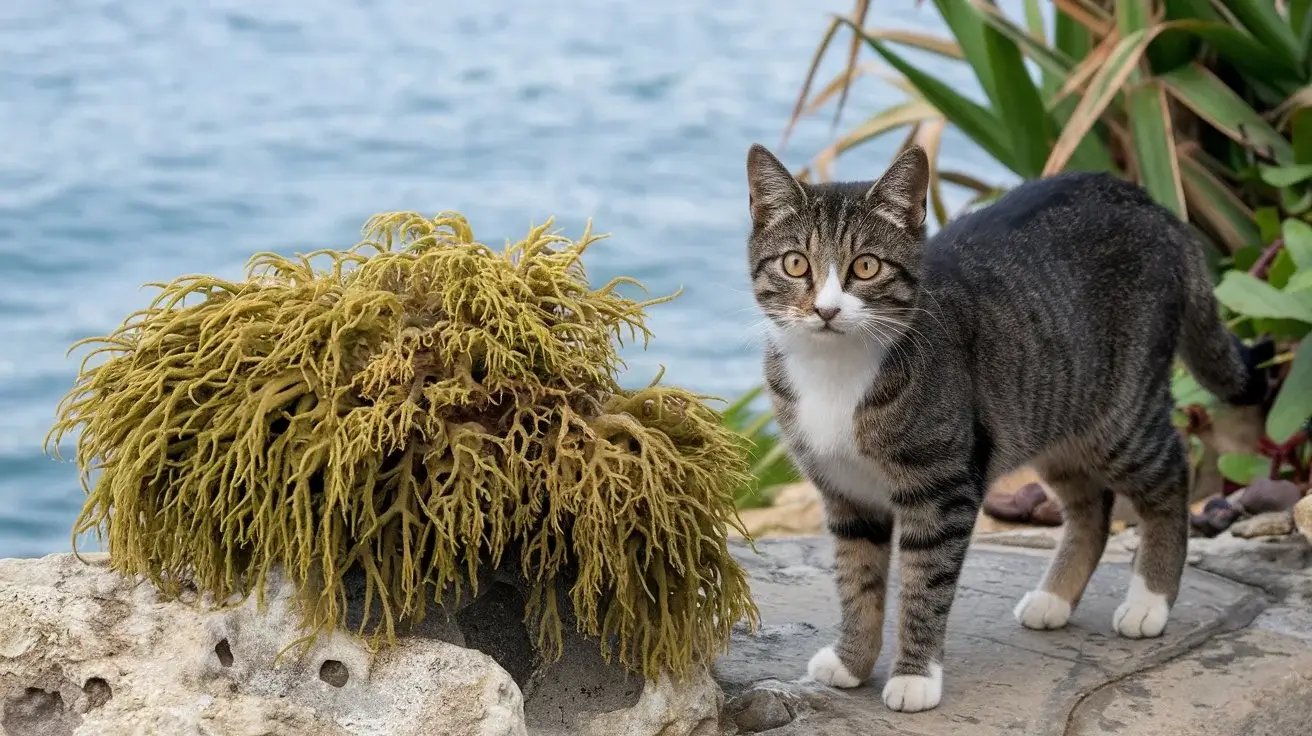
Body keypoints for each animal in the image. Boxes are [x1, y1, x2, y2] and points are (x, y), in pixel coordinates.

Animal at [750, 142, 1270, 713]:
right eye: (796, 263)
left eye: (865, 266)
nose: (825, 309)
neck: (835, 371)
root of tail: (1156, 207)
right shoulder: (846, 496)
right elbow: (856, 583)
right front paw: (852, 662)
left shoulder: (943, 490)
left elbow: (923, 588)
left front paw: (914, 677)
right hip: (1050, 414)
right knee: (1092, 508)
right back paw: (1055, 596)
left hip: (1120, 412)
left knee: (1171, 473)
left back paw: (1149, 600)